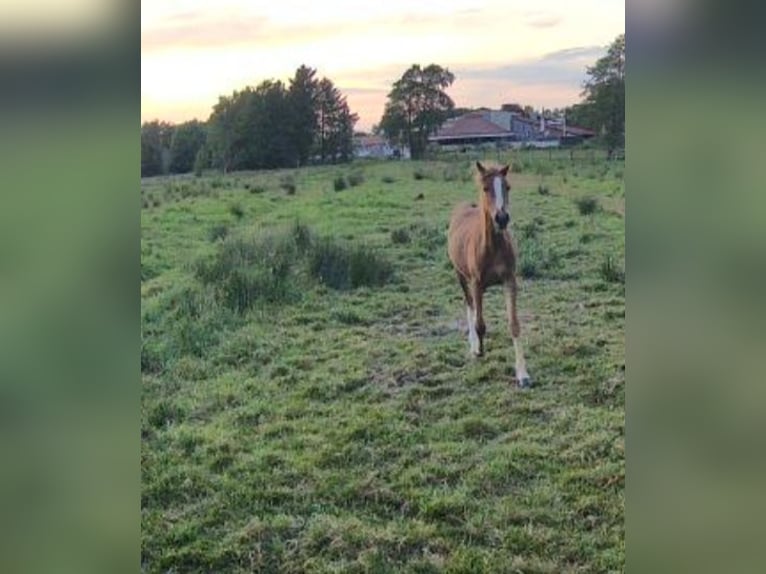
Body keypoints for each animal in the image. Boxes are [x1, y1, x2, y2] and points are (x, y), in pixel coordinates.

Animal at [447, 161, 531, 388]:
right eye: (486, 188)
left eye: (507, 187)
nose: (501, 218)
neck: (492, 247)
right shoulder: (476, 284)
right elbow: (480, 323)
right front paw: (479, 350)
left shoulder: (509, 281)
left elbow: (514, 324)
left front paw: (523, 374)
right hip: (461, 276)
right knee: (469, 305)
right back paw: (473, 345)